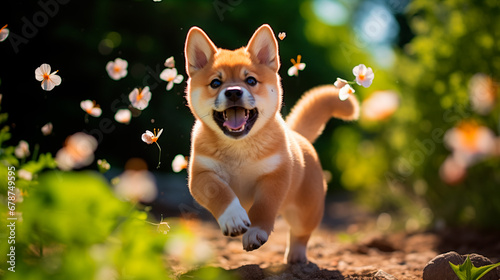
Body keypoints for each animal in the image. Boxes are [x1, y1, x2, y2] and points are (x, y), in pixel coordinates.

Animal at [185, 24, 360, 264]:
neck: (239, 148)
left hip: (305, 212)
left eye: (250, 80)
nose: (233, 92)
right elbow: (222, 193)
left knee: (300, 234)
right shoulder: (202, 176)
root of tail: (298, 135)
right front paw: (233, 218)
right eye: (215, 83)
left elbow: (263, 207)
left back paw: (296, 255)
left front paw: (255, 231)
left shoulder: (275, 176)